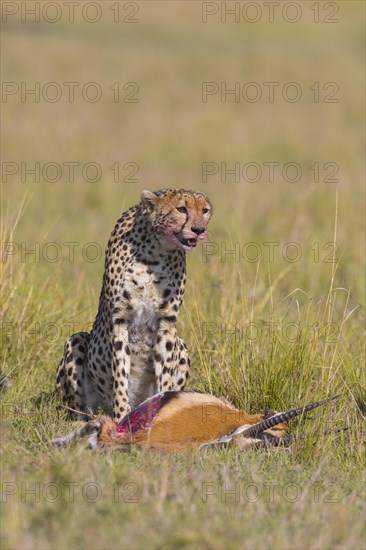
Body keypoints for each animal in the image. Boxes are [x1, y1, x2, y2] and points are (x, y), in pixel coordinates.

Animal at [55, 190, 213, 422]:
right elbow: (120, 374)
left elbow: (165, 373)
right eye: (181, 209)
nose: (199, 229)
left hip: (181, 345)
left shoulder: (166, 322)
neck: (155, 251)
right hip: (77, 344)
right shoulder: (120, 320)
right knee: (80, 411)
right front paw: (122, 416)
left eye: (205, 210)